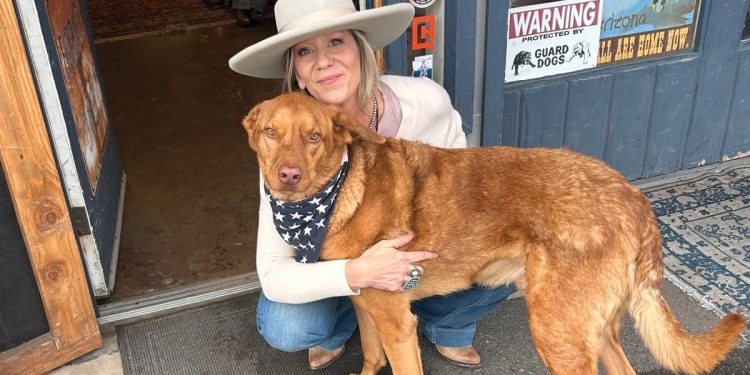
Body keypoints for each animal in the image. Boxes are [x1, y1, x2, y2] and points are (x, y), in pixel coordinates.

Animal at [244, 93, 748, 375]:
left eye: (314, 136)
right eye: (271, 132)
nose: (287, 176)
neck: (341, 189)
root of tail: (635, 199)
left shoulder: (398, 323)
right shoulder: (367, 306)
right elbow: (370, 357)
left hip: (558, 333)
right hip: (590, 329)